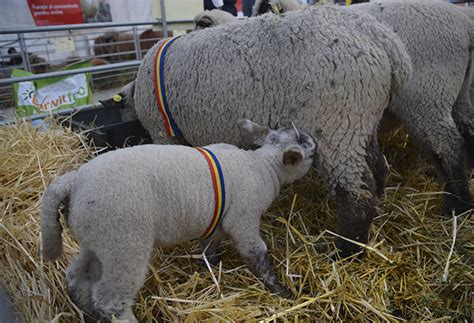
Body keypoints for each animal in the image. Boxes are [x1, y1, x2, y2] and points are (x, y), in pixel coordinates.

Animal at [131, 5, 412, 258]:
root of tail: (382, 39)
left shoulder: (164, 133)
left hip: (337, 123)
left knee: (357, 195)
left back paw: (346, 251)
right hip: (360, 122)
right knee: (378, 167)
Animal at [254, 0, 474, 218]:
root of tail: (464, 24)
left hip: (429, 97)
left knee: (447, 145)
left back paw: (457, 206)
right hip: (460, 95)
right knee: (467, 131)